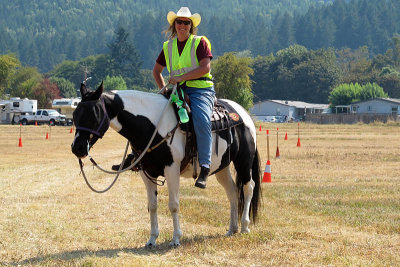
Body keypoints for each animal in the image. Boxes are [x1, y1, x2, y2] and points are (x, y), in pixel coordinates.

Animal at [70, 82, 260, 248]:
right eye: (75, 114)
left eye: (94, 113)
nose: (77, 147)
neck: (153, 126)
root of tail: (242, 114)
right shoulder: (146, 172)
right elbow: (152, 206)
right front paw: (152, 239)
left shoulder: (171, 169)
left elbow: (173, 205)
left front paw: (176, 239)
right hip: (222, 166)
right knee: (232, 191)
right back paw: (232, 228)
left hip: (243, 161)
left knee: (248, 187)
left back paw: (244, 226)